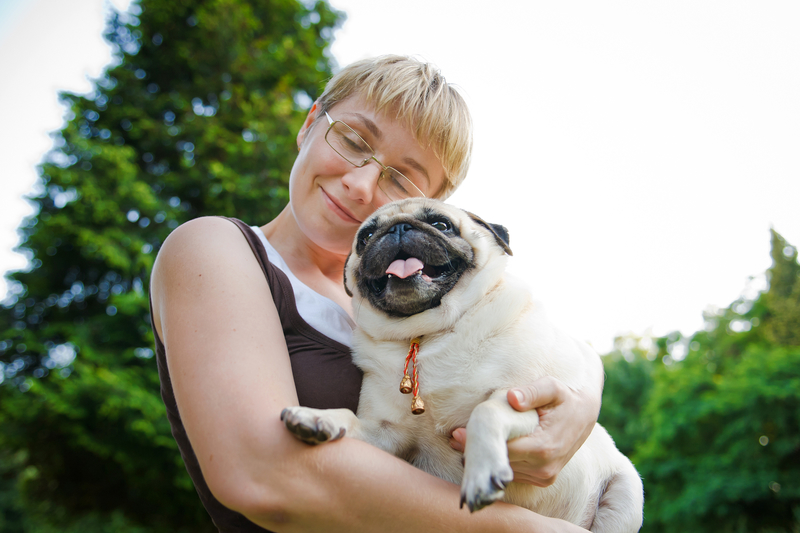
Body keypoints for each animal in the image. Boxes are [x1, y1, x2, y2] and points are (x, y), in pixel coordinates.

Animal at [282, 197, 644, 528]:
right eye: (366, 236)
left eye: (441, 224)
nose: (398, 228)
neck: (428, 334)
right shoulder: (385, 434)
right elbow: (348, 416)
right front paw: (317, 417)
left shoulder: (526, 402)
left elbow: (486, 411)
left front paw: (481, 474)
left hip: (627, 495)